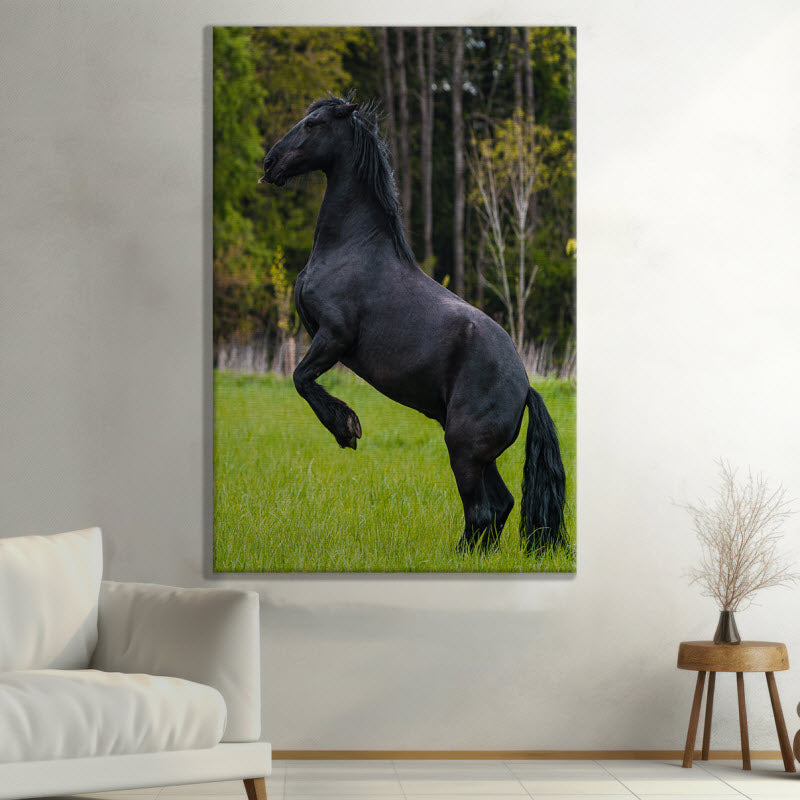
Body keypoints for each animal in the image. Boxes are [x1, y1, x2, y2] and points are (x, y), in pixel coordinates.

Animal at [259, 95, 566, 554]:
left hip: (463, 448)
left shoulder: (333, 337)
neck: (351, 247)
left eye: (312, 124)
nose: (270, 162)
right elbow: (301, 378)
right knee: (500, 506)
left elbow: (301, 378)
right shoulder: (321, 337)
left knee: (482, 511)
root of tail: (526, 387)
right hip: (480, 455)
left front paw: (346, 428)